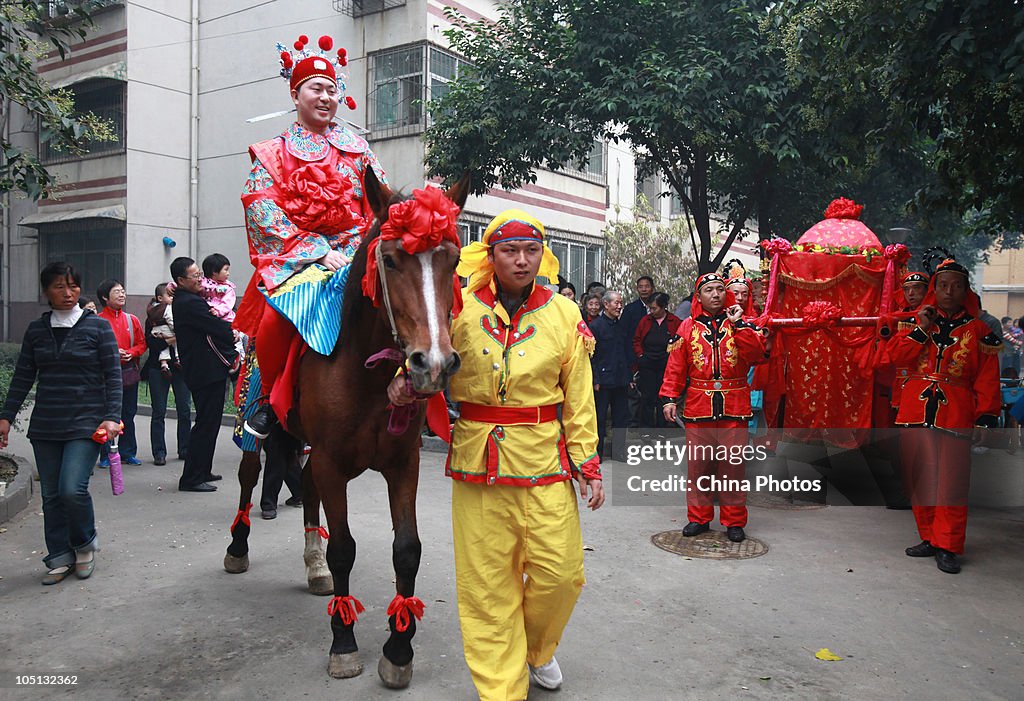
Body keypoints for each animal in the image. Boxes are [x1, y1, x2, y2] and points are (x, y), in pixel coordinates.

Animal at [224, 171, 468, 687]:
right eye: (390, 260)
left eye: (453, 260)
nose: (434, 364)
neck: (367, 373)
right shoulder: (334, 462)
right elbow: (344, 550)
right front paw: (343, 643)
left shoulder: (403, 463)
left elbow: (407, 549)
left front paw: (398, 650)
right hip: (256, 422)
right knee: (248, 478)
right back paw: (238, 549)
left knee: (306, 486)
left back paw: (313, 567)